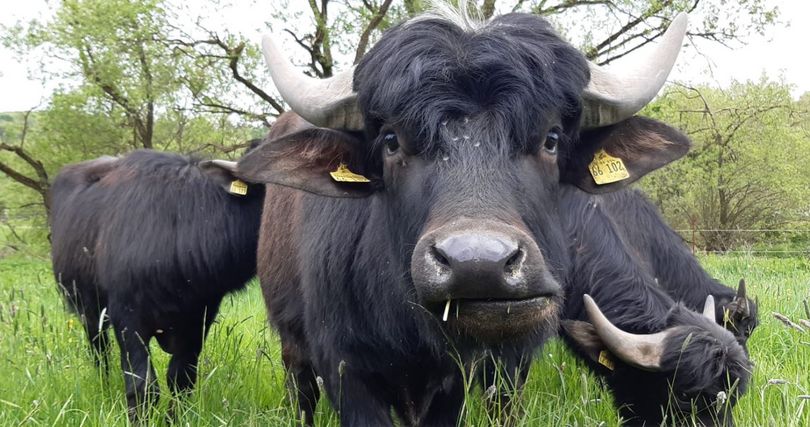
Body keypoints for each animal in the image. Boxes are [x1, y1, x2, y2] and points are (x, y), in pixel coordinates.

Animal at [49, 150, 262, 418]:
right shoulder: (127, 319)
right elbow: (143, 386)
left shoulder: (199, 320)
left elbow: (181, 379)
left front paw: (174, 418)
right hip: (88, 311)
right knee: (100, 353)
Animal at [237, 4, 748, 427]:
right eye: (391, 141)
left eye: (551, 138)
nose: (477, 264)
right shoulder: (346, 371)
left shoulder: (476, 374)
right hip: (293, 349)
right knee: (301, 394)